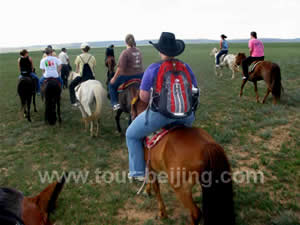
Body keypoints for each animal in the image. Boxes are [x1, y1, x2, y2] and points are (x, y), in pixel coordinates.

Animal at [130, 96, 236, 225]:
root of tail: (206, 146)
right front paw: (147, 190)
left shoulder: (150, 168)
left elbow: (157, 190)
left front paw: (162, 213)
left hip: (181, 187)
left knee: (196, 213)